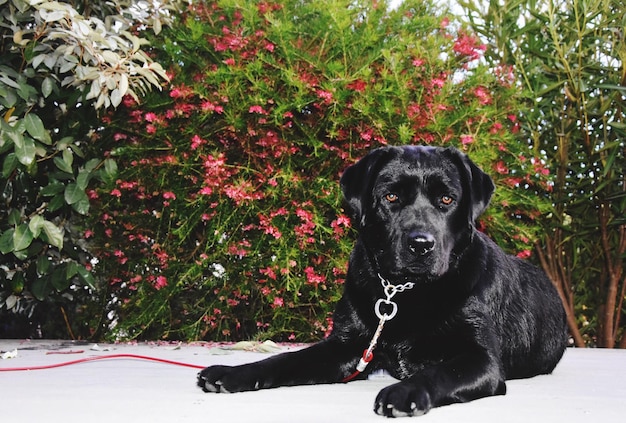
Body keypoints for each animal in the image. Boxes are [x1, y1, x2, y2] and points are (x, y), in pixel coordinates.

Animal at [197, 146, 568, 418]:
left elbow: (438, 372)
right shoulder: (346, 346)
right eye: (391, 197)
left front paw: (404, 392)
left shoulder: (481, 360)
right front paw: (232, 372)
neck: (403, 291)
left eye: (447, 199)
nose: (421, 244)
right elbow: (285, 360)